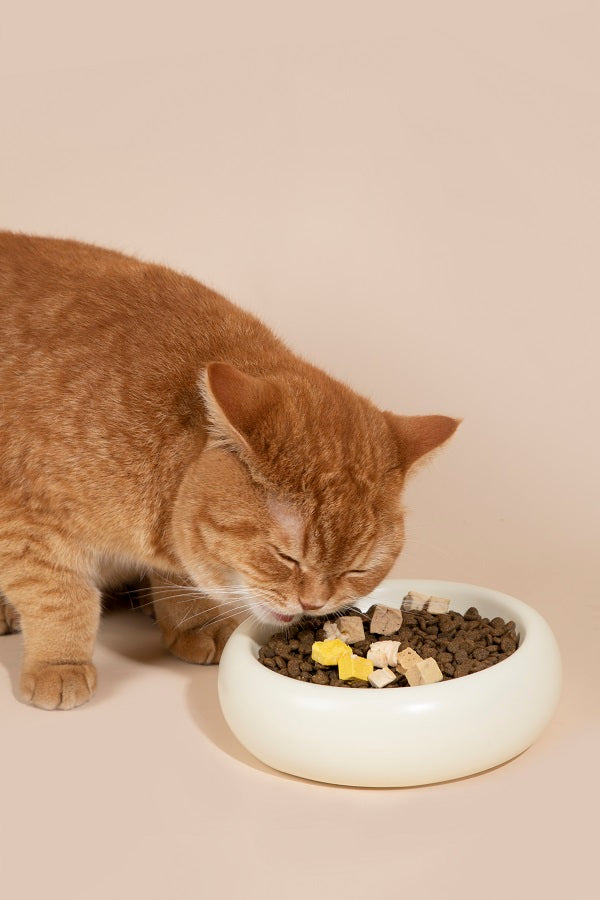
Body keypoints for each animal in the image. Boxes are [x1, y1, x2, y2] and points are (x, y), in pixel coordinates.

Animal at [0, 232, 460, 712]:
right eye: (285, 557)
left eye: (357, 570)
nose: (313, 604)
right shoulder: (27, 523)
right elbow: (61, 597)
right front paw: (59, 664)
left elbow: (180, 582)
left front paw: (191, 623)